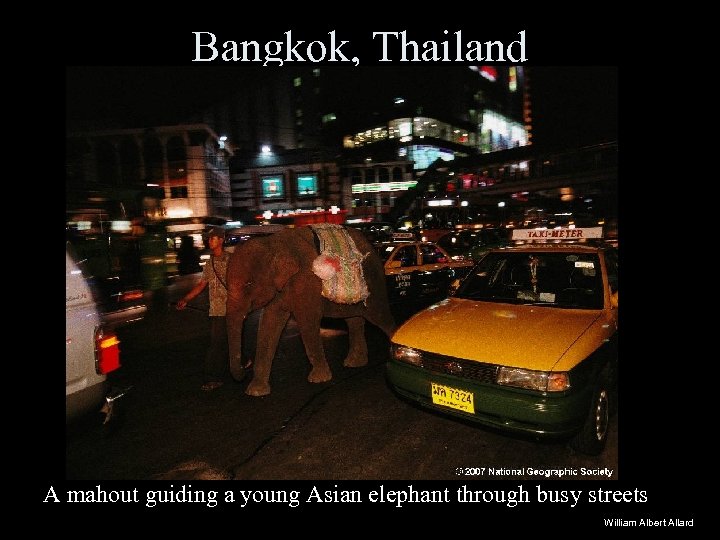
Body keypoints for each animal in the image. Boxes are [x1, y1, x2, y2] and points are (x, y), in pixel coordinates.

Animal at [225, 224, 396, 396]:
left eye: (248, 284)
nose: (244, 369)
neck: (273, 243)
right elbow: (269, 323)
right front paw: (255, 392)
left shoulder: (307, 281)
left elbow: (308, 322)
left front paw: (318, 379)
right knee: (354, 320)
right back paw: (354, 363)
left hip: (374, 282)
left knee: (379, 316)